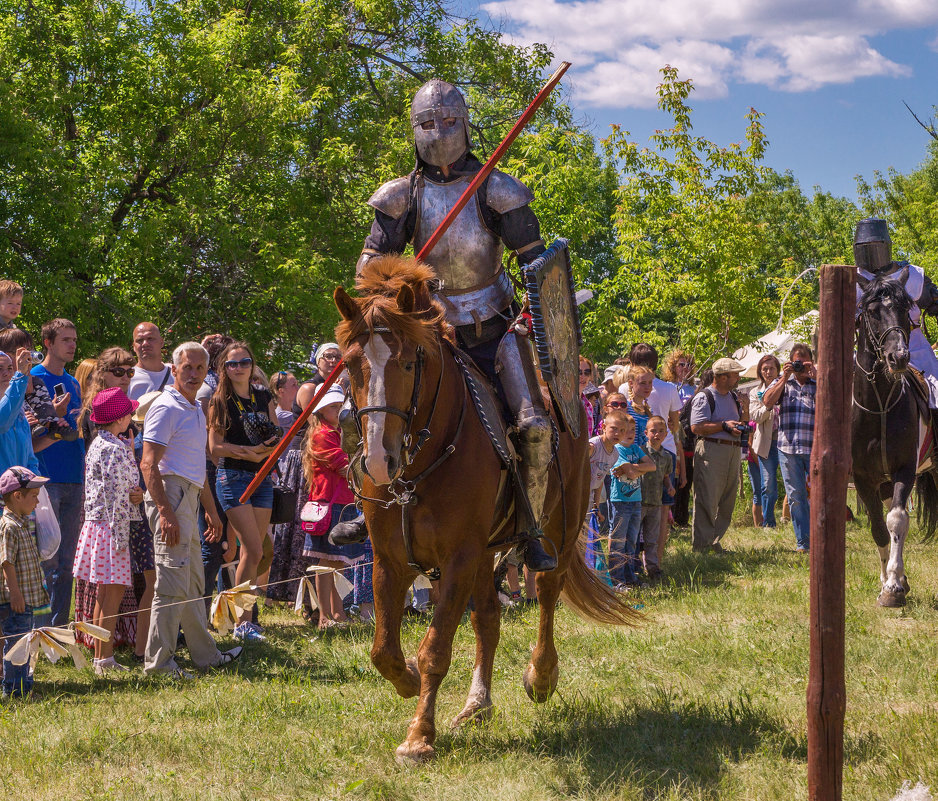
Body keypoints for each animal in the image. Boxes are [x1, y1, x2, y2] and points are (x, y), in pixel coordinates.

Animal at [330, 256, 636, 764]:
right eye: (351, 365)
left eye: (409, 361)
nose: (377, 461)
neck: (421, 465)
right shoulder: (391, 559)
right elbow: (384, 650)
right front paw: (408, 681)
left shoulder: (459, 556)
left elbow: (435, 649)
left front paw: (419, 737)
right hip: (486, 552)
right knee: (488, 620)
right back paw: (477, 705)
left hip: (558, 527)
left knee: (547, 592)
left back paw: (541, 677)